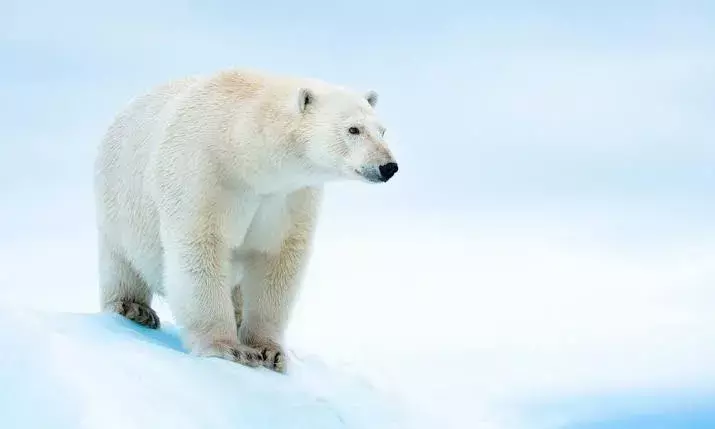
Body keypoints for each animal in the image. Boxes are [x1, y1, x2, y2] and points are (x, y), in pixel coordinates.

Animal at [93, 68, 398, 372]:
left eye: (382, 131)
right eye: (353, 129)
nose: (388, 166)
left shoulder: (288, 196)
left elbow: (277, 260)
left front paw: (269, 351)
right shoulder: (204, 173)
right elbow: (201, 248)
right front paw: (228, 348)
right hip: (118, 198)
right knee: (121, 260)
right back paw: (134, 308)